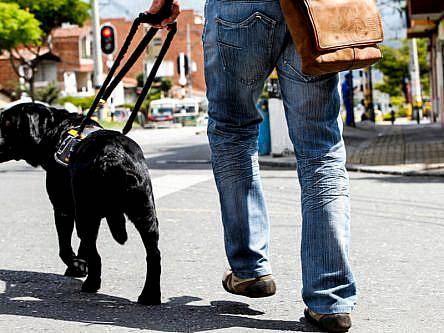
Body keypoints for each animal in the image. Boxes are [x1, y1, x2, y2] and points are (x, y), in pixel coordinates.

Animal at [0, 103, 160, 304]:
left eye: (6, 123)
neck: (55, 131)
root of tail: (112, 156)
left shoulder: (63, 209)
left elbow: (65, 248)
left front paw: (77, 265)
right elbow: (83, 246)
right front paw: (80, 264)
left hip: (86, 214)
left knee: (95, 254)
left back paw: (91, 283)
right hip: (145, 212)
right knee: (153, 255)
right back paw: (150, 294)